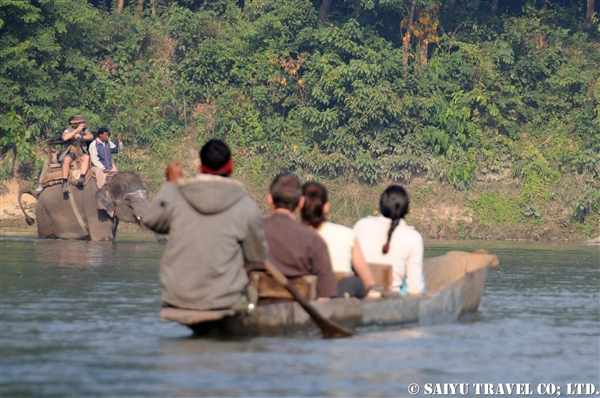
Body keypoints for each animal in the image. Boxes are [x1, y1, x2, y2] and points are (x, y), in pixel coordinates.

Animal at [18, 172, 166, 243]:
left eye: (147, 195)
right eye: (128, 201)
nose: (164, 241)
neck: (108, 181)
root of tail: (38, 193)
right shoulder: (94, 209)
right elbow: (103, 238)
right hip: (42, 214)